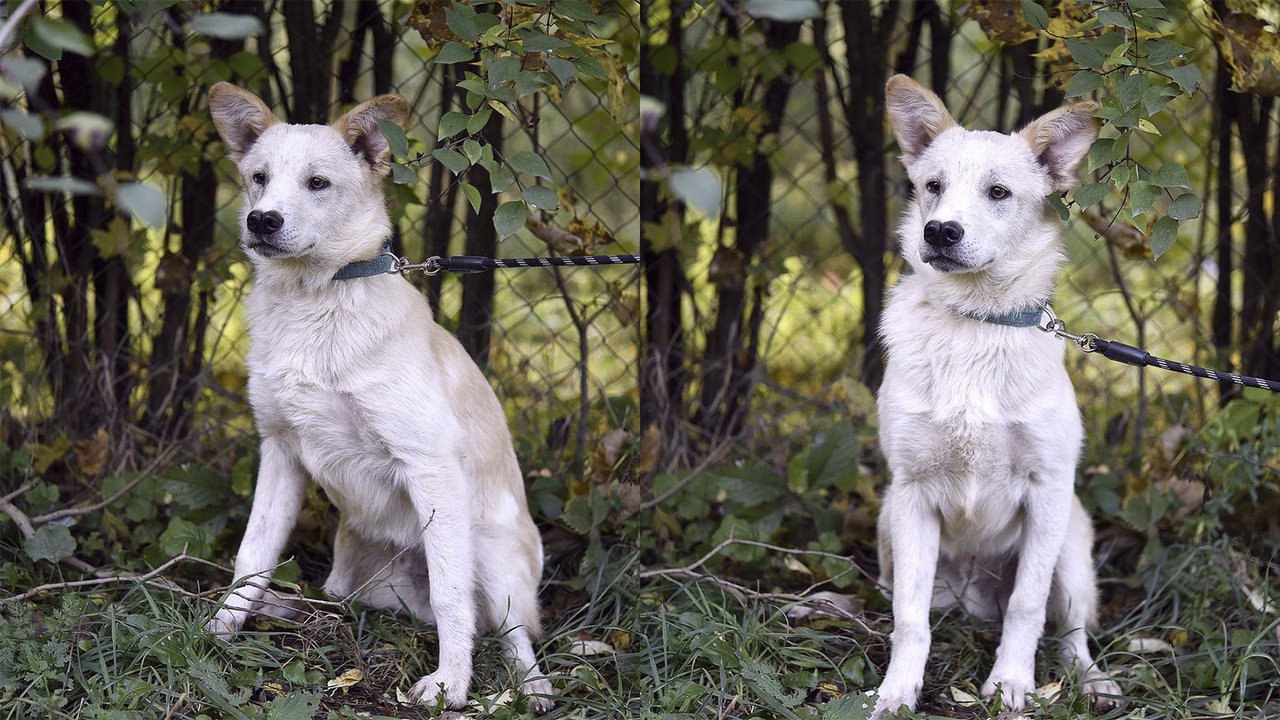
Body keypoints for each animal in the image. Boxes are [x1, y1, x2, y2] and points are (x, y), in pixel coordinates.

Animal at [206, 81, 555, 707]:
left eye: (318, 183)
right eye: (258, 177)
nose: (261, 220)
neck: (316, 301)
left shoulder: (429, 463)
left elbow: (451, 595)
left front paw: (450, 687)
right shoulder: (280, 451)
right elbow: (252, 556)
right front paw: (218, 632)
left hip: (490, 552)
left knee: (512, 632)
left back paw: (529, 688)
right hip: (352, 576)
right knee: (335, 599)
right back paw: (289, 609)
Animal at [870, 75, 1121, 712]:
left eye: (999, 192)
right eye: (932, 187)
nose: (940, 231)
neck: (975, 323)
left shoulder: (1048, 489)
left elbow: (1027, 608)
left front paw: (1010, 684)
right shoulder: (911, 494)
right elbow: (908, 619)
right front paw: (897, 693)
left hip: (1071, 546)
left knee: (1069, 629)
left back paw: (1091, 681)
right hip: (888, 527)